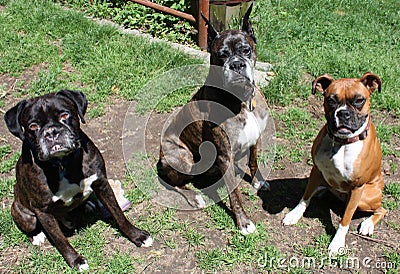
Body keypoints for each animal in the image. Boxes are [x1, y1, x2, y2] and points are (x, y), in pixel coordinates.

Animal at [3, 91, 153, 270]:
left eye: (64, 115)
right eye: (33, 126)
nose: (51, 132)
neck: (62, 163)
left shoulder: (101, 184)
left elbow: (118, 214)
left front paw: (137, 236)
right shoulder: (43, 210)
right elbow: (60, 240)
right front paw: (75, 261)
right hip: (25, 215)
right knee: (33, 225)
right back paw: (38, 235)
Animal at [156, 4, 268, 234]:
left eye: (246, 50)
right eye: (221, 55)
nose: (236, 65)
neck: (242, 100)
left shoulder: (255, 139)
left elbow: (253, 161)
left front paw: (258, 181)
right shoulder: (225, 155)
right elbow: (234, 193)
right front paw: (243, 222)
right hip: (183, 156)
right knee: (175, 183)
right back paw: (194, 196)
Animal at [282, 72, 386, 255]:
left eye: (359, 100)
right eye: (331, 100)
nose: (343, 113)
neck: (341, 143)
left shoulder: (357, 187)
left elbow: (345, 220)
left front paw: (337, 242)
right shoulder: (316, 170)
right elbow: (305, 197)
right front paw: (294, 214)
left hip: (364, 198)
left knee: (382, 209)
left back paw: (367, 224)